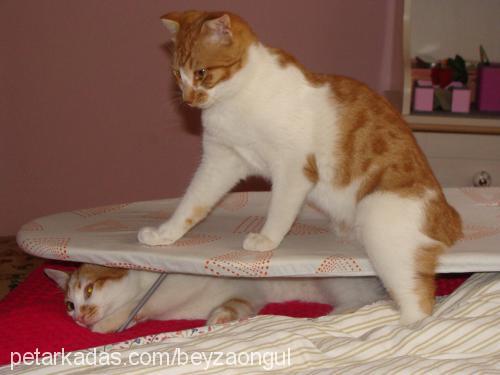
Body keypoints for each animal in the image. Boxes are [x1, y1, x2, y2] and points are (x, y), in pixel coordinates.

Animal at [137, 10, 460, 324]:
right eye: (176, 74)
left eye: (201, 73)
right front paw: (165, 235)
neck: (238, 98)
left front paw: (266, 239)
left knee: (419, 302)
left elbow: (280, 210)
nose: (187, 99)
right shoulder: (220, 161)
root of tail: (450, 219)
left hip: (383, 229)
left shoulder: (293, 168)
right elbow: (191, 204)